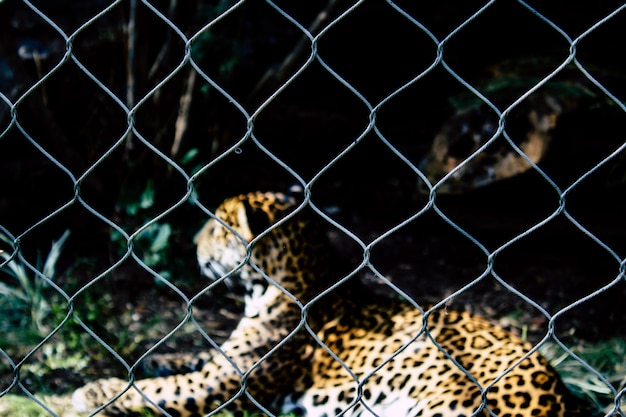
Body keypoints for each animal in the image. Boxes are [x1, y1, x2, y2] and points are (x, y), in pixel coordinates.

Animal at [72, 190, 580, 414]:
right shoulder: (222, 362)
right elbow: (190, 359)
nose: (193, 245)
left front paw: (92, 391)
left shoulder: (222, 384)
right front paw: (155, 355)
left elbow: (159, 389)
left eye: (218, 227)